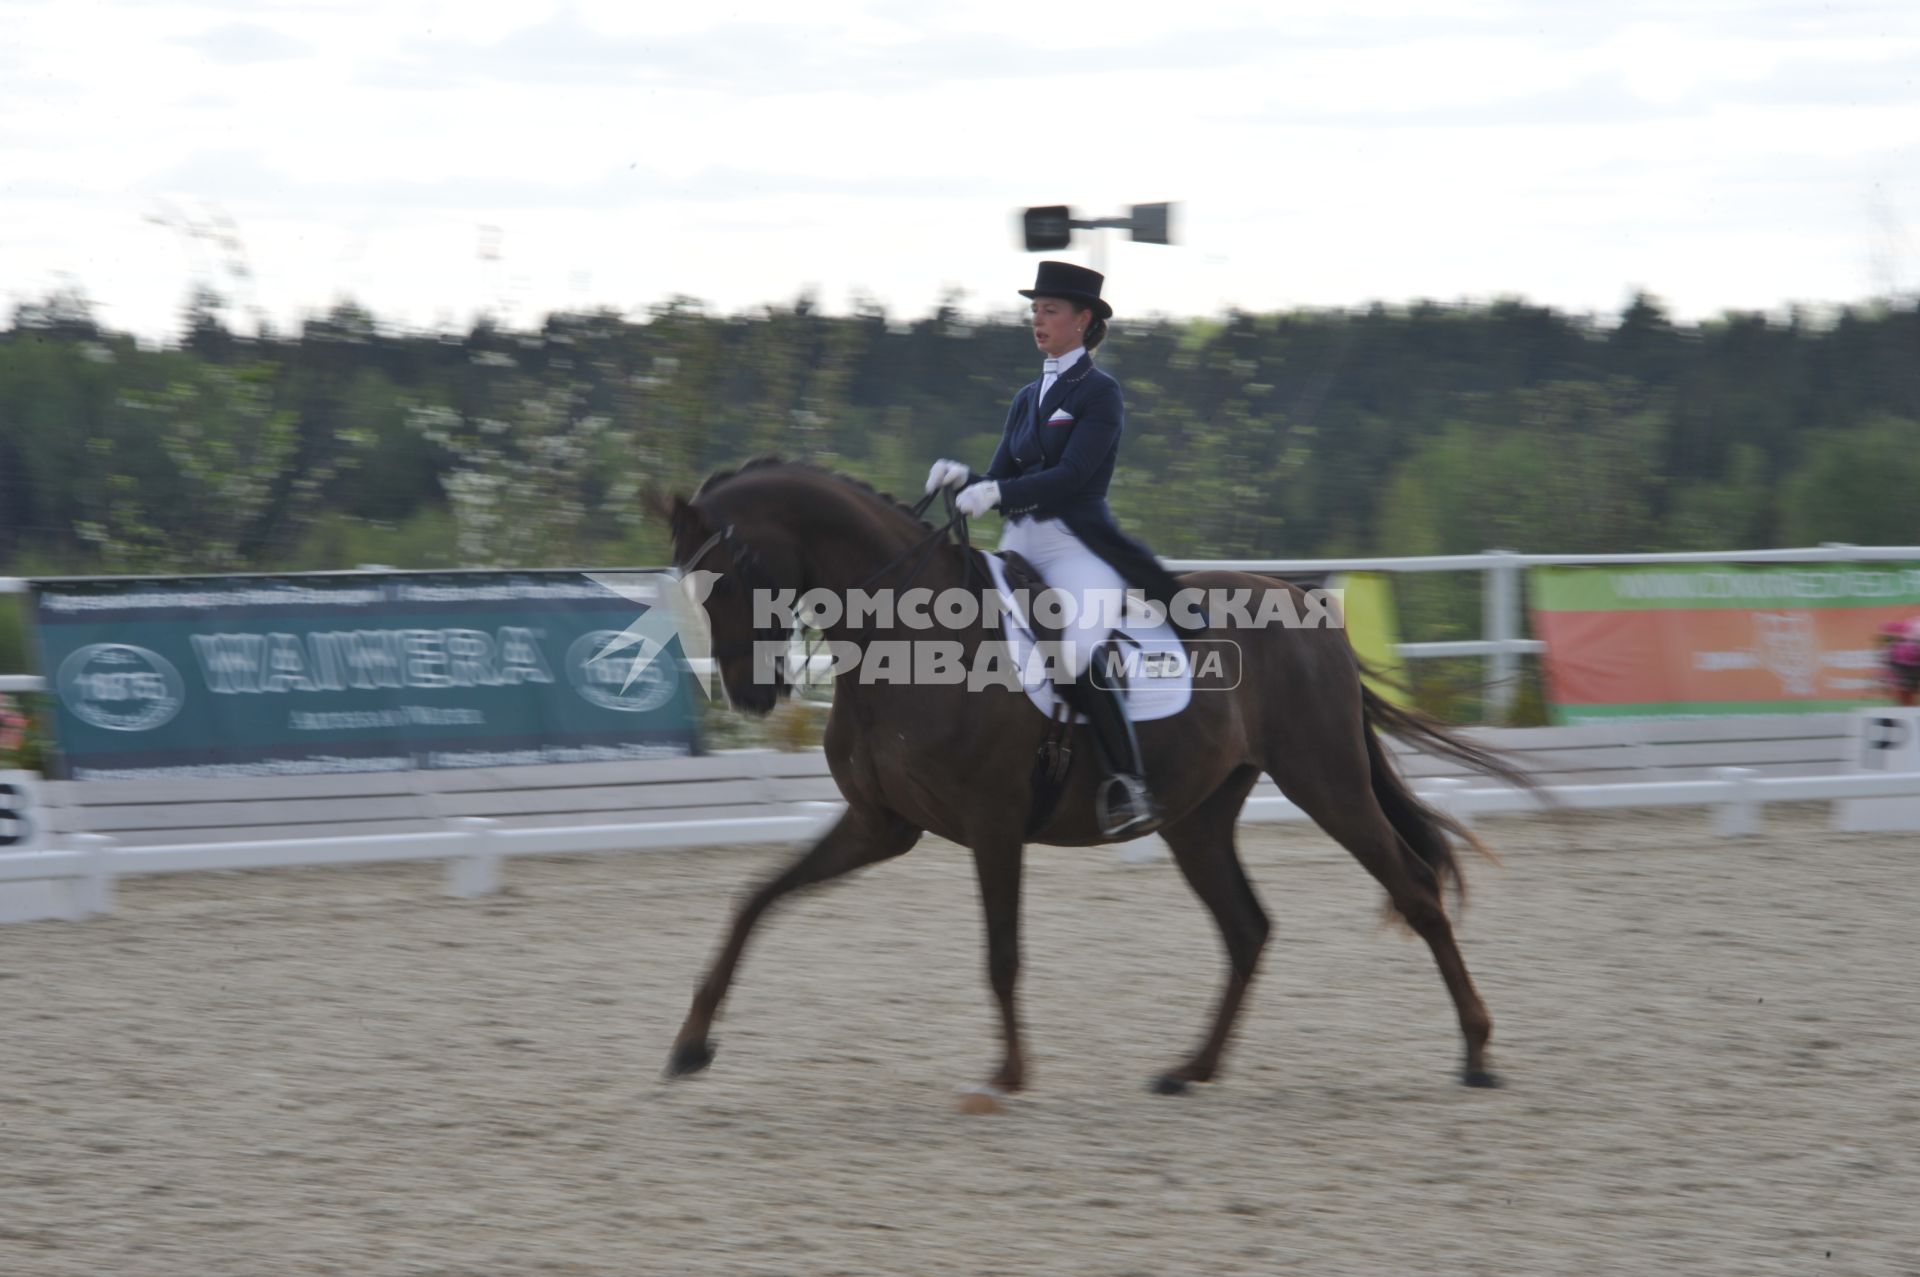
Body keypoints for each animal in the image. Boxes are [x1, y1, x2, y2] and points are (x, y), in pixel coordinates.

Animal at [656, 458, 1528, 1098]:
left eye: (731, 575)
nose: (751, 694)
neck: (905, 636)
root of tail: (1307, 605)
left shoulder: (993, 822)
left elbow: (1002, 951)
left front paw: (1009, 1073)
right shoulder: (882, 824)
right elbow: (757, 897)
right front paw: (691, 1043)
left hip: (1326, 781)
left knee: (1413, 887)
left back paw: (1478, 1053)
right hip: (1198, 816)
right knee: (1247, 927)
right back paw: (1190, 1069)